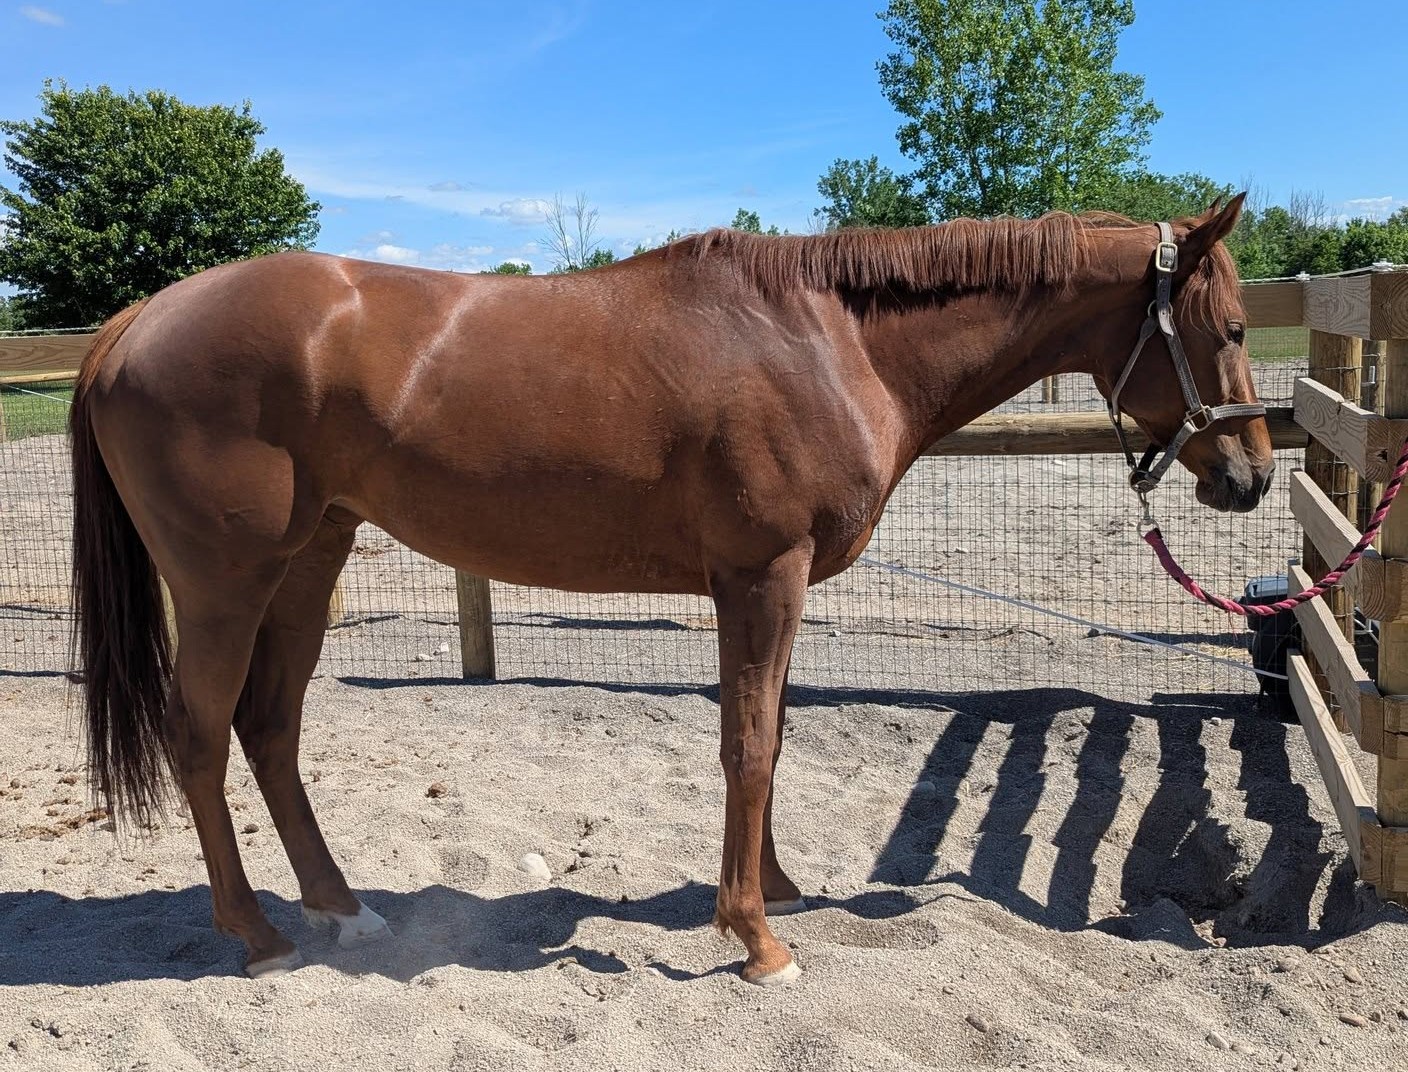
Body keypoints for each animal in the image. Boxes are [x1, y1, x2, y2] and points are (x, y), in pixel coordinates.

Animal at [69, 195, 1273, 984]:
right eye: (1229, 328)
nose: (1253, 475)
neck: (828, 340)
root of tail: (135, 323)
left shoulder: (772, 588)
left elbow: (769, 734)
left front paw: (774, 890)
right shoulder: (761, 578)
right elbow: (749, 743)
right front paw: (756, 939)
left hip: (308, 563)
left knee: (270, 728)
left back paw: (340, 908)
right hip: (225, 584)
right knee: (200, 735)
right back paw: (257, 934)